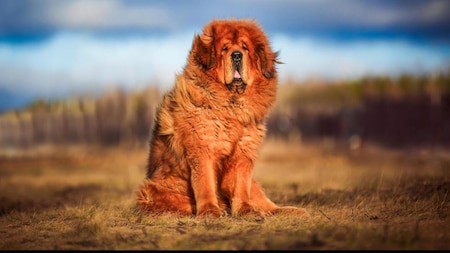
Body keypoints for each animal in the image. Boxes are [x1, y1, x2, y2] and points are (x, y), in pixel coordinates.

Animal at [136, 18, 306, 217]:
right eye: (224, 49)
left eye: (245, 48)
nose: (237, 55)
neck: (231, 107)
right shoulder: (203, 151)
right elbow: (206, 184)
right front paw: (210, 211)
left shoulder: (243, 153)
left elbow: (241, 186)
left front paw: (246, 210)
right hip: (152, 190)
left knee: (268, 204)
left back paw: (290, 211)